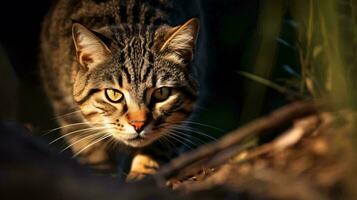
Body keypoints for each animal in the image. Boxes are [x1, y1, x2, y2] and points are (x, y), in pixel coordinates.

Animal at [41, 0, 200, 180]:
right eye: (114, 94)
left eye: (161, 93)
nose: (138, 125)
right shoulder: (69, 115)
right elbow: (94, 154)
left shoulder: (179, 125)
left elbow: (159, 148)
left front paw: (142, 173)